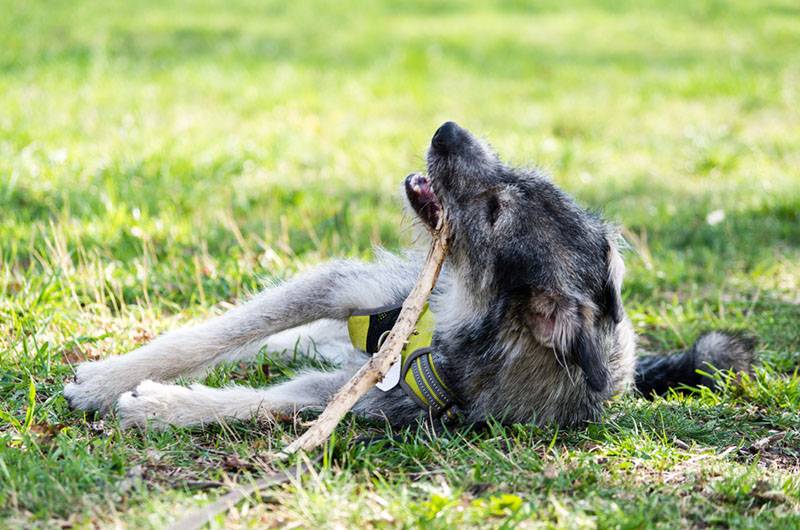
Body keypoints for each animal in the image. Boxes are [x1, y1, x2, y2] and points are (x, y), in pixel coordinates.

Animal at [64, 121, 756, 426]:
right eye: (518, 176)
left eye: (496, 209)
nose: (447, 128)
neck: (461, 319)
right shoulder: (348, 288)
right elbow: (211, 335)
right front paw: (108, 378)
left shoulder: (369, 398)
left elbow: (260, 401)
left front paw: (162, 405)